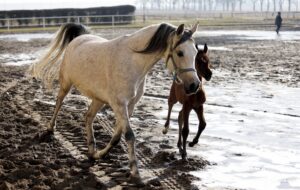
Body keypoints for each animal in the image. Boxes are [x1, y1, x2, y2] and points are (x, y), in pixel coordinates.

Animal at [30, 22, 200, 184]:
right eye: (180, 53)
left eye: (196, 52)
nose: (194, 85)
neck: (133, 61)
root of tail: (79, 38)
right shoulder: (119, 105)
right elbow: (129, 135)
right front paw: (135, 174)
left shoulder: (129, 106)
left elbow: (117, 136)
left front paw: (100, 154)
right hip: (66, 84)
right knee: (59, 103)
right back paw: (50, 129)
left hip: (98, 99)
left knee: (88, 117)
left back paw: (92, 151)